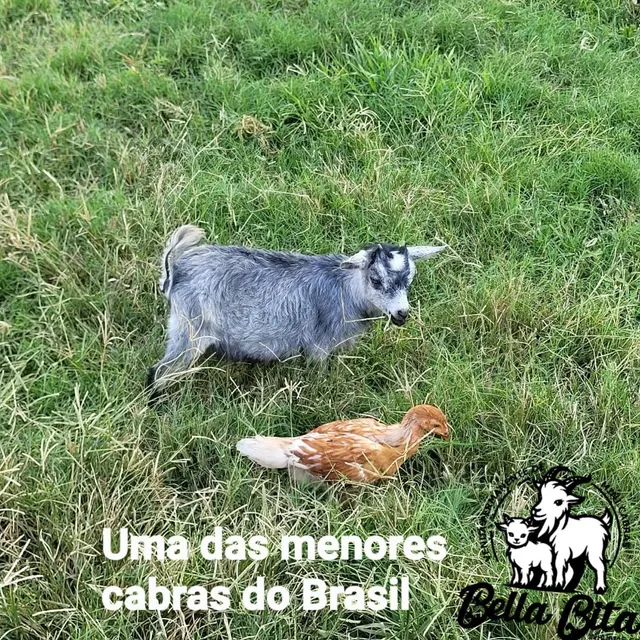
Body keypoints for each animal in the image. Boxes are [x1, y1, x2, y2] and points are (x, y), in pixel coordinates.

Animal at [147, 226, 446, 396]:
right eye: (375, 280)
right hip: (190, 330)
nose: (402, 314)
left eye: (409, 280)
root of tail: (175, 270)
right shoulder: (319, 346)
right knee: (159, 372)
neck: (344, 290)